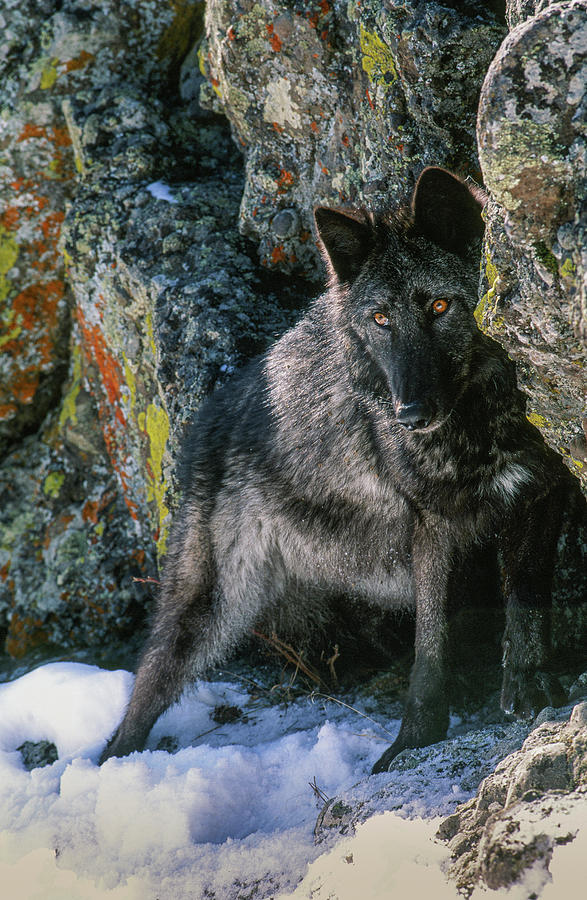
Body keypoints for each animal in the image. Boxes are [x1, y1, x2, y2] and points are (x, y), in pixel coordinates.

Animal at [102, 165, 576, 768]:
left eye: (439, 307)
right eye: (380, 318)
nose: (409, 415)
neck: (483, 422)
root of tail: (209, 416)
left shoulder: (541, 491)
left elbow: (528, 597)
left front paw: (529, 681)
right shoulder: (432, 527)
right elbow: (431, 643)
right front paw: (415, 738)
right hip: (209, 607)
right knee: (141, 699)